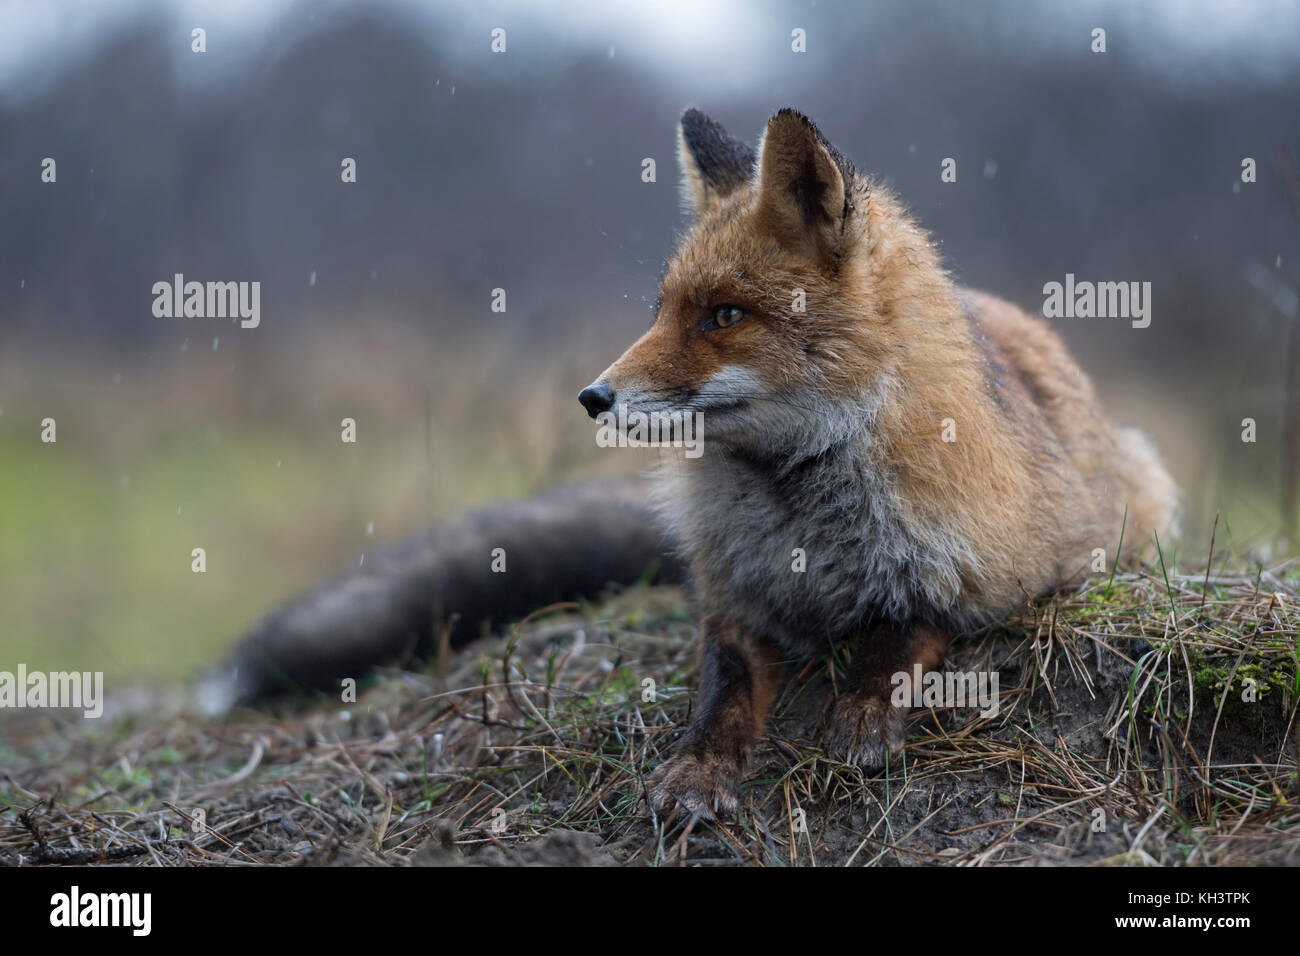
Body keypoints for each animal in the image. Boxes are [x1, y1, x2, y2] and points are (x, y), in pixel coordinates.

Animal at [210, 102, 1180, 822]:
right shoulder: (730, 600)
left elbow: (907, 631)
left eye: (723, 316)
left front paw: (865, 709)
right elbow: (724, 692)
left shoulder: (1005, 572)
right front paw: (700, 769)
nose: (592, 397)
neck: (799, 506)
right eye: (664, 309)